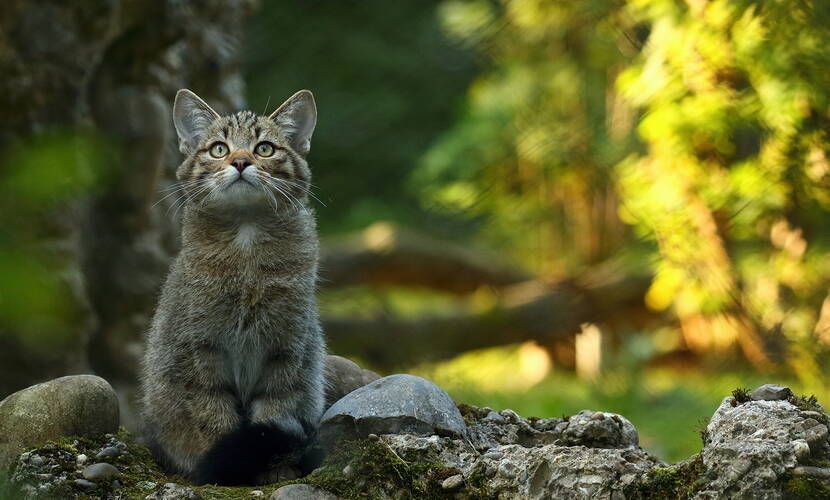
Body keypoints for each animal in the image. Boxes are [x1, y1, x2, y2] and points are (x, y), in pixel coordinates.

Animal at [140, 89, 324, 484]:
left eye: (265, 148)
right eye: (218, 149)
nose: (240, 161)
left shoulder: (286, 347)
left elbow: (274, 411)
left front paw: (273, 470)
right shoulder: (201, 350)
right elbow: (215, 417)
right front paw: (225, 469)